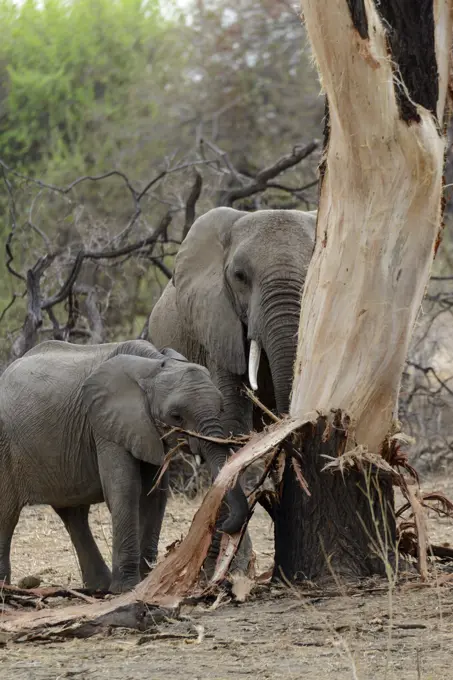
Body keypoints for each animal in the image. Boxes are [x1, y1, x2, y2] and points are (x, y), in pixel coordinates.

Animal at [0, 338, 247, 588]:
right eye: (176, 416)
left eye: (221, 408)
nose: (224, 526)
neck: (153, 364)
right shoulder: (105, 424)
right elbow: (125, 488)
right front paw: (126, 587)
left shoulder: (143, 428)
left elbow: (154, 495)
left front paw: (145, 582)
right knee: (8, 514)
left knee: (74, 514)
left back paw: (99, 587)